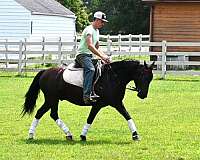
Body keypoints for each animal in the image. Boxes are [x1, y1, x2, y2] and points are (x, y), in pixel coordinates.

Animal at [21, 59, 154, 141]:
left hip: (54, 100)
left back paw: (67, 134)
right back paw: (31, 135)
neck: (113, 77)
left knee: (51, 114)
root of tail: (45, 71)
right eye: (142, 75)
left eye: (151, 78)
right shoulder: (113, 103)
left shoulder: (105, 104)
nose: (143, 95)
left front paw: (82, 135)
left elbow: (91, 118)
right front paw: (135, 135)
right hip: (51, 99)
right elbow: (126, 115)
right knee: (42, 113)